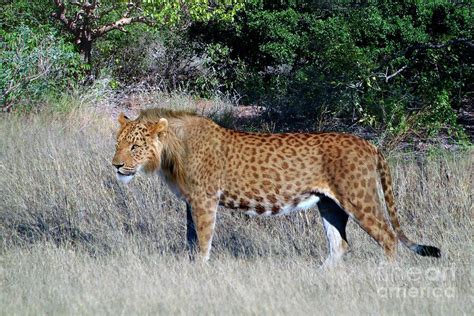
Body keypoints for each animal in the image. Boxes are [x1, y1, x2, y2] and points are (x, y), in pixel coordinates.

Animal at [111, 108, 440, 264]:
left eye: (135, 146)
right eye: (118, 143)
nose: (115, 165)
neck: (170, 152)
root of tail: (369, 144)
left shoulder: (204, 200)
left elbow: (203, 243)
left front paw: (200, 273)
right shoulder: (191, 202)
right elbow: (191, 241)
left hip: (359, 198)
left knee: (388, 238)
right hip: (329, 204)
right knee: (339, 245)